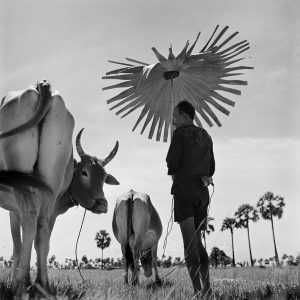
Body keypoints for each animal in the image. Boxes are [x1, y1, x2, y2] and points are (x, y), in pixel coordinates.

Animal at [0, 80, 119, 298]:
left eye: (104, 177)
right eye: (85, 173)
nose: (102, 204)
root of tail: (42, 85)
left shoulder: (16, 211)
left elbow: (19, 246)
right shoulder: (44, 211)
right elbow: (38, 243)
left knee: (31, 225)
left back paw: (22, 284)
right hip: (48, 187)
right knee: (40, 232)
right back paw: (40, 283)